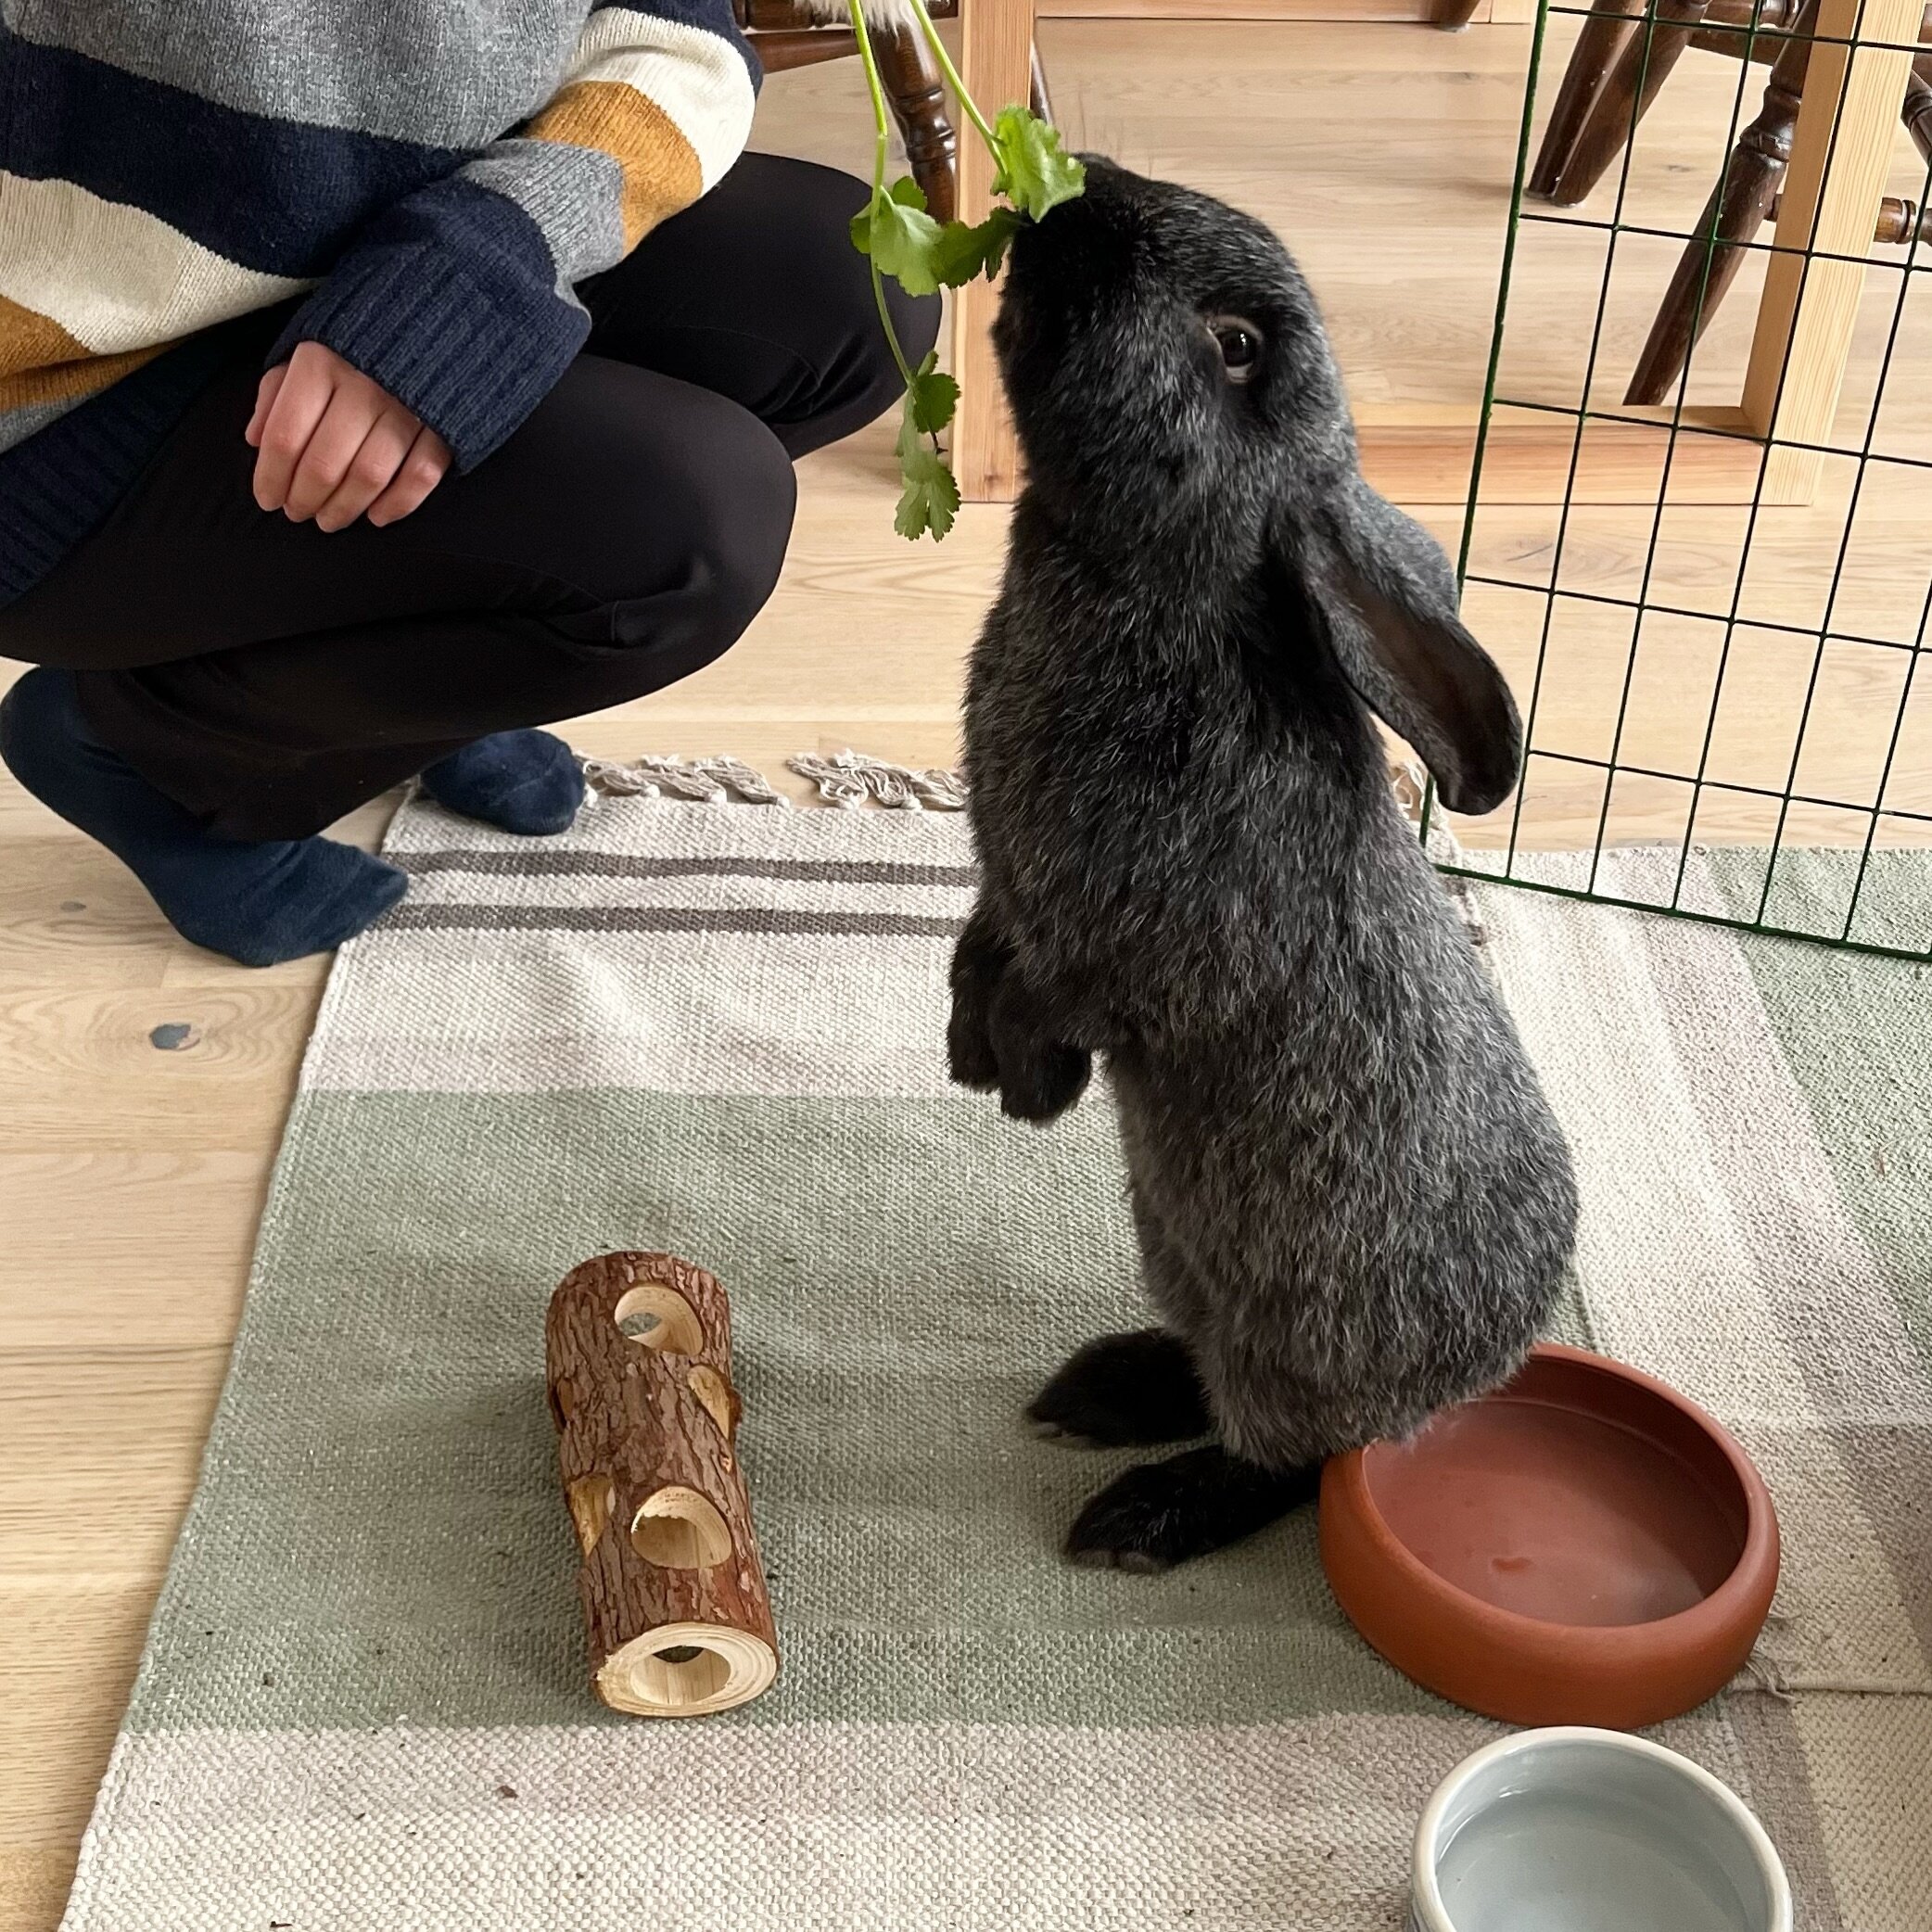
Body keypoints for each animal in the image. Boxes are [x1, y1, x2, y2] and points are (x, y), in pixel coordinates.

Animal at [954, 158, 1583, 1576]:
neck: (1147, 574)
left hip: (1295, 1334)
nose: (1079, 190)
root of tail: (1481, 1368)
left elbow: (1066, 992)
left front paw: (1020, 1084)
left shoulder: (1147, 940)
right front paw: (966, 1051)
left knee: (1292, 1456)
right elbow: (980, 941)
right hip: (1176, 1248)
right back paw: (1101, 1389)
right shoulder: (1008, 894)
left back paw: (1141, 1511)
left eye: (1237, 344)